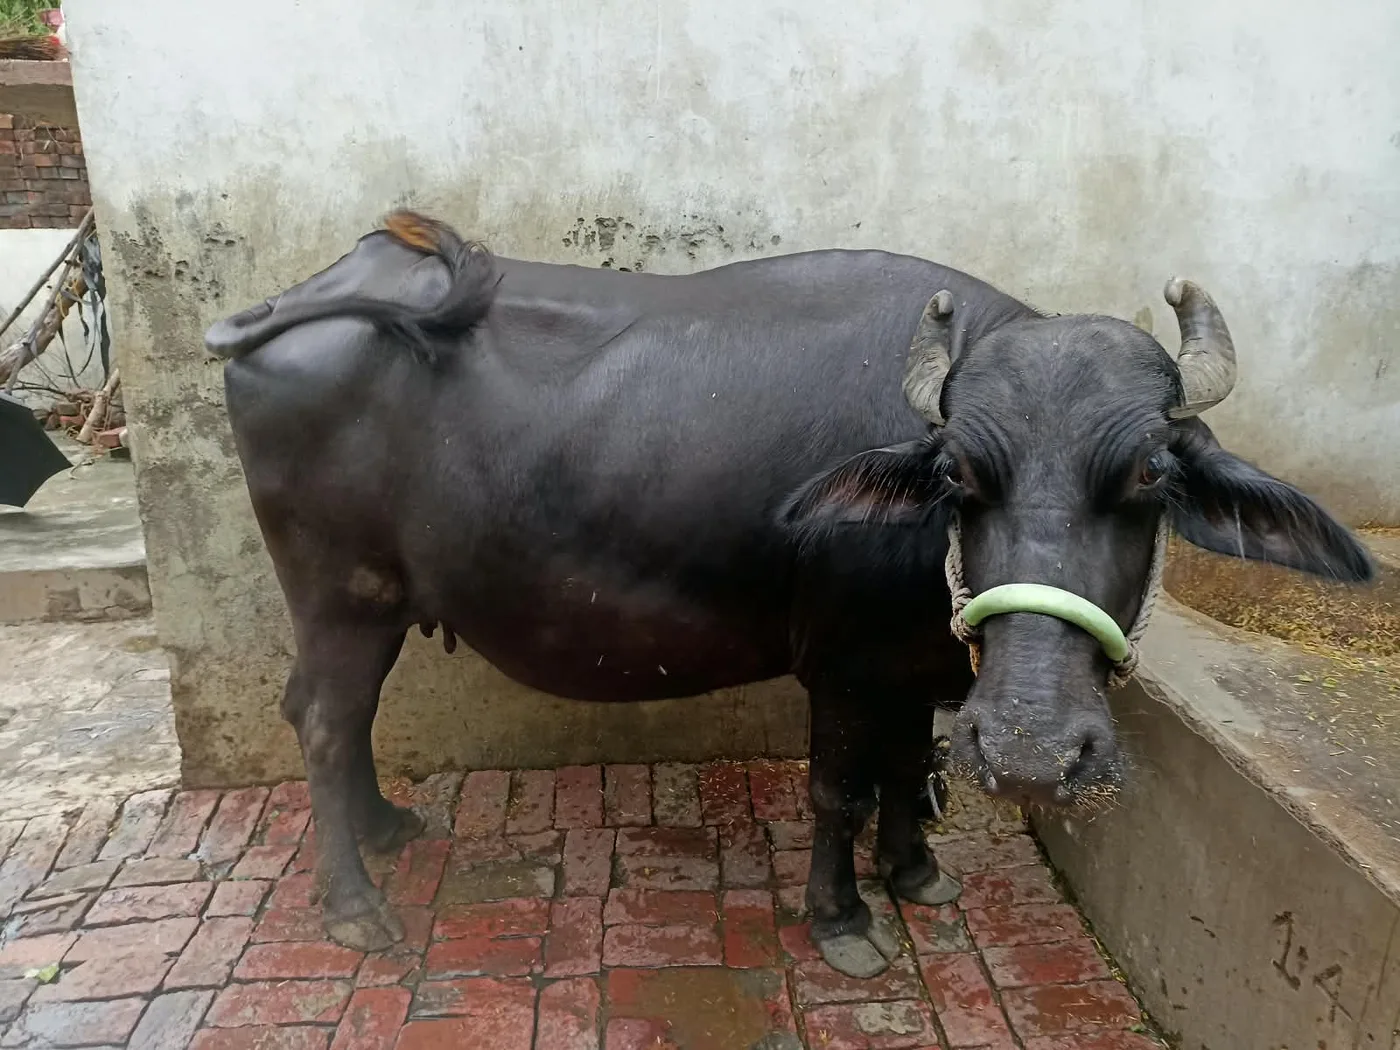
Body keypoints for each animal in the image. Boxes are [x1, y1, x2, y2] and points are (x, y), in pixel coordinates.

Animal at [206, 211, 1372, 977]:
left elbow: (904, 769)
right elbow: (838, 790)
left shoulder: (914, 663)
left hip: (377, 605)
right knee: (322, 719)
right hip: (341, 595)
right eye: (960, 475)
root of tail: (308, 297)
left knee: (338, 716)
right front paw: (842, 919)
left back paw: (387, 827)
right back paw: (353, 904)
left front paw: (914, 873)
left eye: (1150, 477)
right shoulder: (845, 666)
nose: (1034, 749)